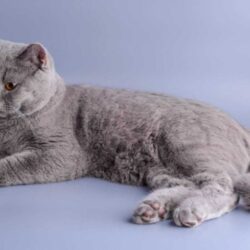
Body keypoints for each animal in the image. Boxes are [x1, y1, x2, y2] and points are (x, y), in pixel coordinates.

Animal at [0, 38, 249, 227]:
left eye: (10, 86)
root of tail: (239, 125)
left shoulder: (59, 153)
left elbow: (13, 164)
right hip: (161, 170)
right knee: (192, 186)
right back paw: (154, 208)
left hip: (186, 146)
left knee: (225, 187)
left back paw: (190, 209)